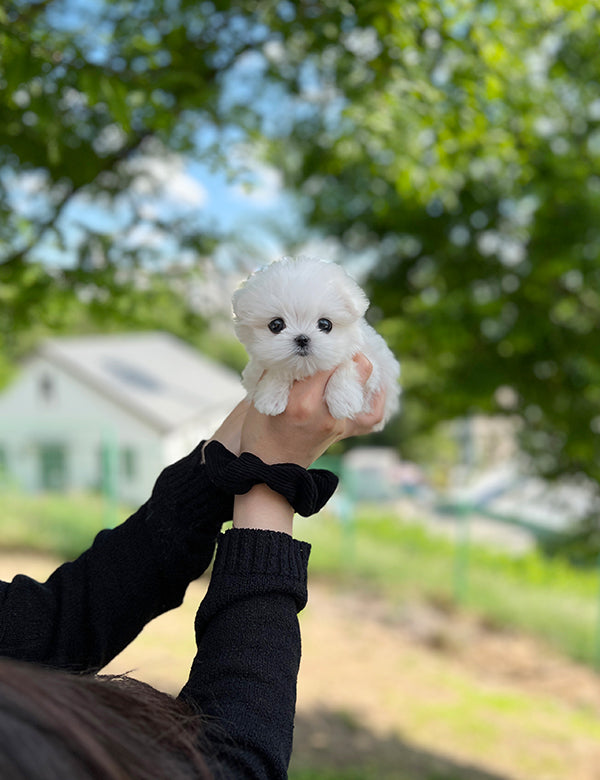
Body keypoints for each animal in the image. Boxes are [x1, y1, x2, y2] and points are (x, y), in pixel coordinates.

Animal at [232, 256, 400, 430]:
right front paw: (270, 396)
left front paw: (344, 401)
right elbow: (277, 368)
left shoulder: (375, 368)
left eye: (325, 324)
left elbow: (346, 364)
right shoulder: (254, 372)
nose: (302, 338)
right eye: (276, 325)